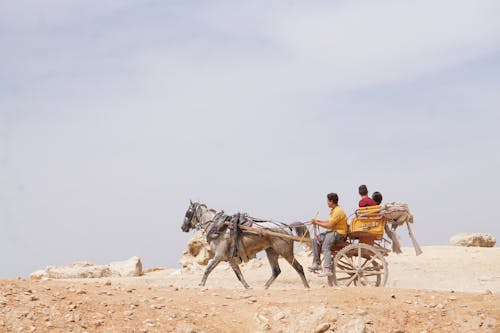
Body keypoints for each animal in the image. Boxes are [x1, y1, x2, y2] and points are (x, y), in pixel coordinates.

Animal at [182, 200, 310, 288]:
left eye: (188, 212)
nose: (182, 227)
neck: (218, 227)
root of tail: (287, 227)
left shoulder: (219, 256)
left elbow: (208, 269)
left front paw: (201, 284)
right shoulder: (230, 259)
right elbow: (239, 274)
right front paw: (248, 287)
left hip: (285, 252)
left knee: (299, 268)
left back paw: (306, 287)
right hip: (271, 251)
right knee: (276, 271)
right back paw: (264, 288)